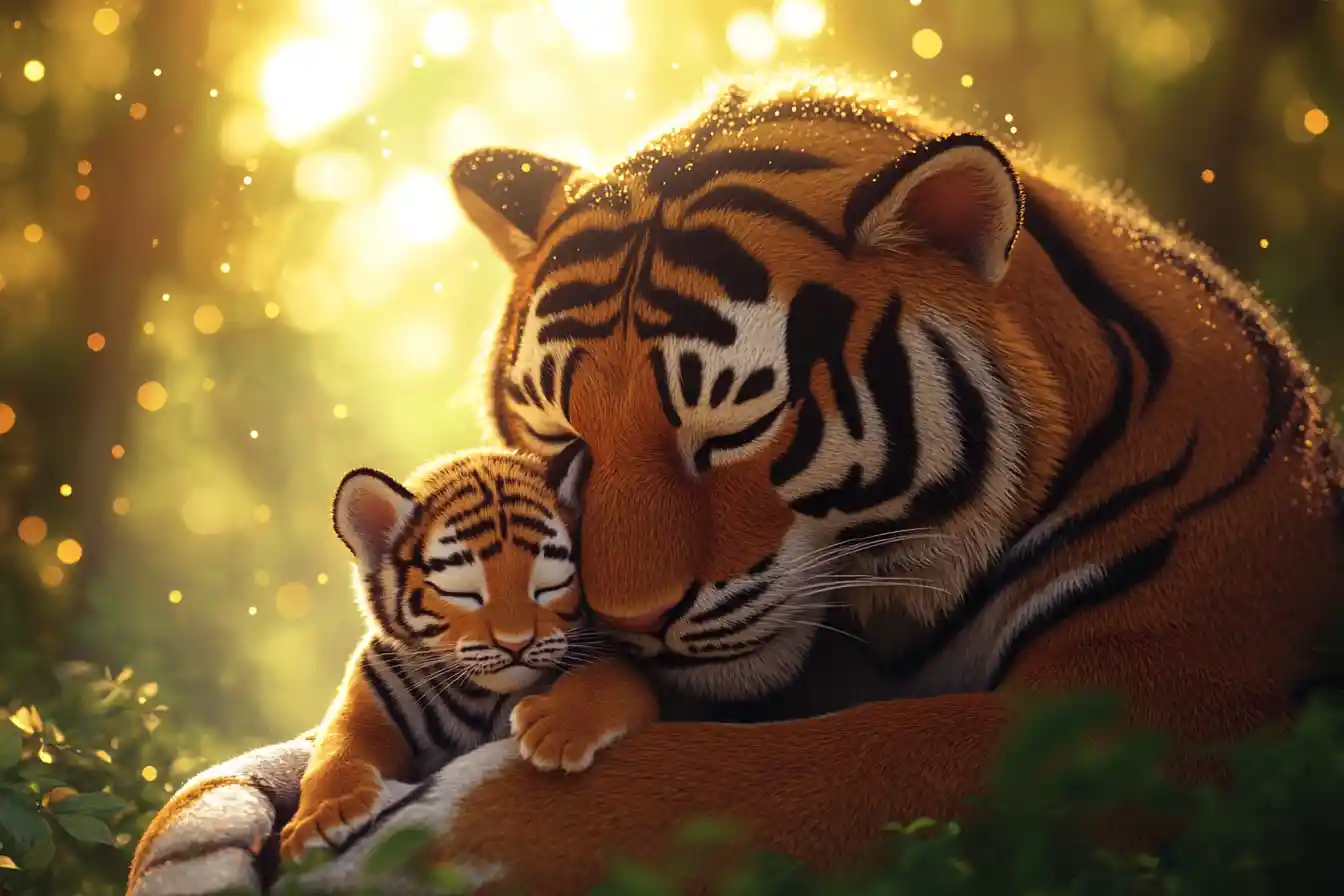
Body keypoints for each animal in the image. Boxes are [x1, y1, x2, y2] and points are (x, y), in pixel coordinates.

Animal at [276, 448, 657, 864]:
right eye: (464, 594)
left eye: (549, 586)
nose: (516, 643)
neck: (476, 695)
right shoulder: (367, 698)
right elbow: (335, 749)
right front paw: (322, 818)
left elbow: (606, 677)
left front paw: (557, 730)